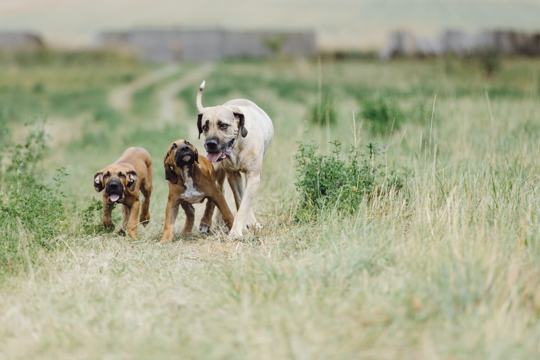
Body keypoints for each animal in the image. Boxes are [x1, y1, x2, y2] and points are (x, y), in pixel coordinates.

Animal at [196, 80, 274, 238]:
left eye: (223, 125)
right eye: (205, 127)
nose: (210, 144)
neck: (237, 146)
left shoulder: (253, 175)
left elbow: (244, 204)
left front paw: (238, 230)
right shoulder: (232, 175)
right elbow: (239, 201)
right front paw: (241, 228)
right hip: (217, 170)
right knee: (218, 190)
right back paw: (206, 223)